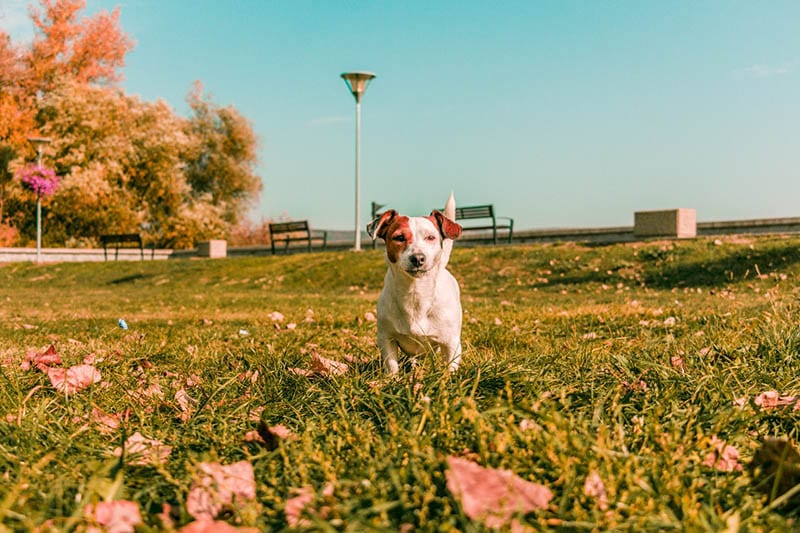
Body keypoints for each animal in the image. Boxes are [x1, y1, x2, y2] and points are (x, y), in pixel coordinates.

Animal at [364, 193, 462, 372]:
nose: (418, 258)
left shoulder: (451, 343)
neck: (416, 291)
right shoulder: (386, 339)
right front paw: (393, 378)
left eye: (431, 237)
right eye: (399, 237)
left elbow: (450, 367)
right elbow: (392, 366)